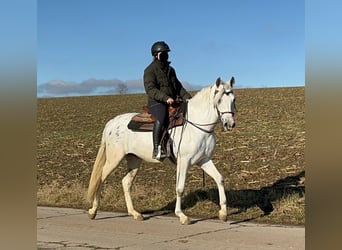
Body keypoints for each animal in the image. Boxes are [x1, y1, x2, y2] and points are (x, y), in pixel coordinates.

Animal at [87, 76, 236, 225]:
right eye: (219, 100)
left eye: (233, 99)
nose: (230, 124)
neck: (196, 126)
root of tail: (112, 123)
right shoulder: (184, 162)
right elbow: (180, 188)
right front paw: (182, 216)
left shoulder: (204, 160)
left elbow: (219, 179)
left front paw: (223, 213)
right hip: (114, 158)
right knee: (100, 178)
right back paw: (93, 210)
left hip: (134, 159)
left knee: (126, 182)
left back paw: (135, 213)